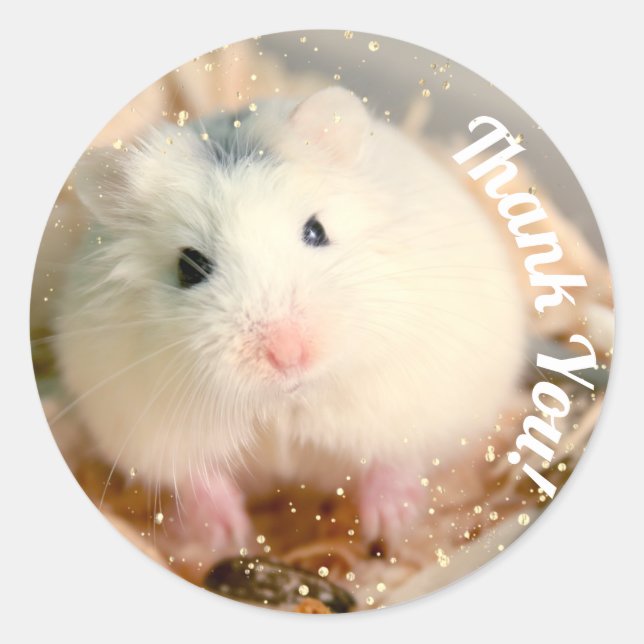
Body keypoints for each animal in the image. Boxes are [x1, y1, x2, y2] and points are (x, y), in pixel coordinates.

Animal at [54, 87, 525, 548]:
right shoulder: (141, 420)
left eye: (316, 231)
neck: (285, 401)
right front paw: (227, 534)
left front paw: (389, 523)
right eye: (190, 266)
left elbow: (399, 455)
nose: (287, 355)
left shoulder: (422, 397)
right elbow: (194, 475)